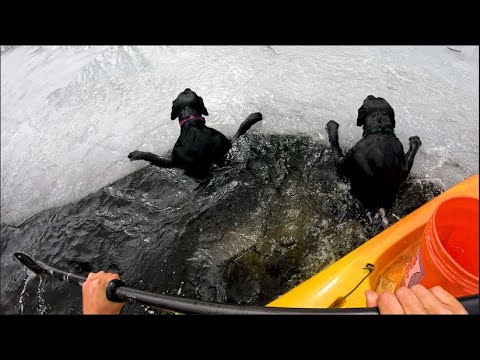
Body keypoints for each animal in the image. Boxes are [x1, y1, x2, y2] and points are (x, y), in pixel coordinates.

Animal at [127, 88, 262, 176]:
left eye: (185, 92)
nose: (187, 88)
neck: (190, 123)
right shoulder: (227, 143)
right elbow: (242, 127)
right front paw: (253, 117)